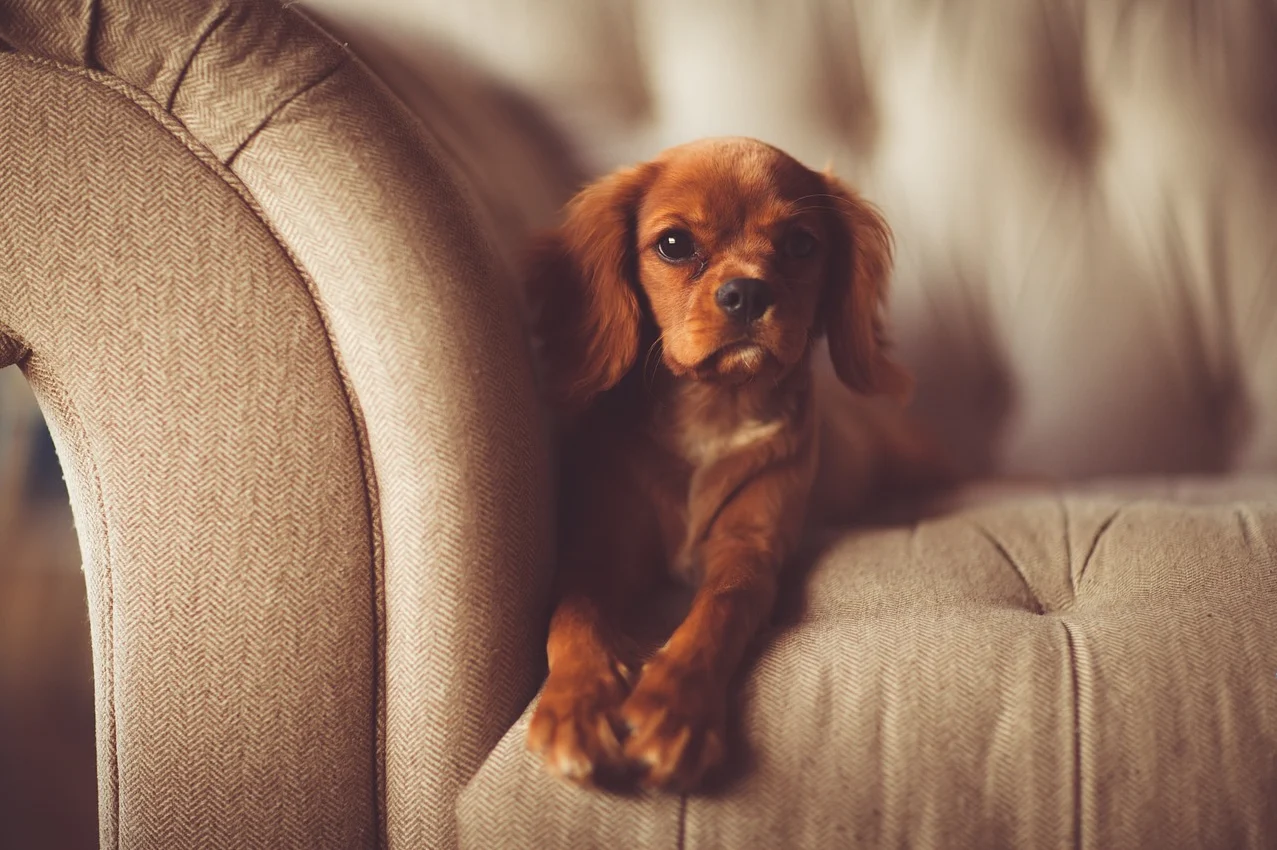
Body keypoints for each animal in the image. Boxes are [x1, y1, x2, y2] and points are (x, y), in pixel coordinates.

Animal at [521, 137, 939, 786]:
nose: (747, 292)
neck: (715, 409)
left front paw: (673, 707)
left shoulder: (750, 548)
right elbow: (573, 614)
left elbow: (719, 609)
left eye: (801, 244)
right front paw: (576, 704)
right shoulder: (600, 550)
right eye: (673, 244)